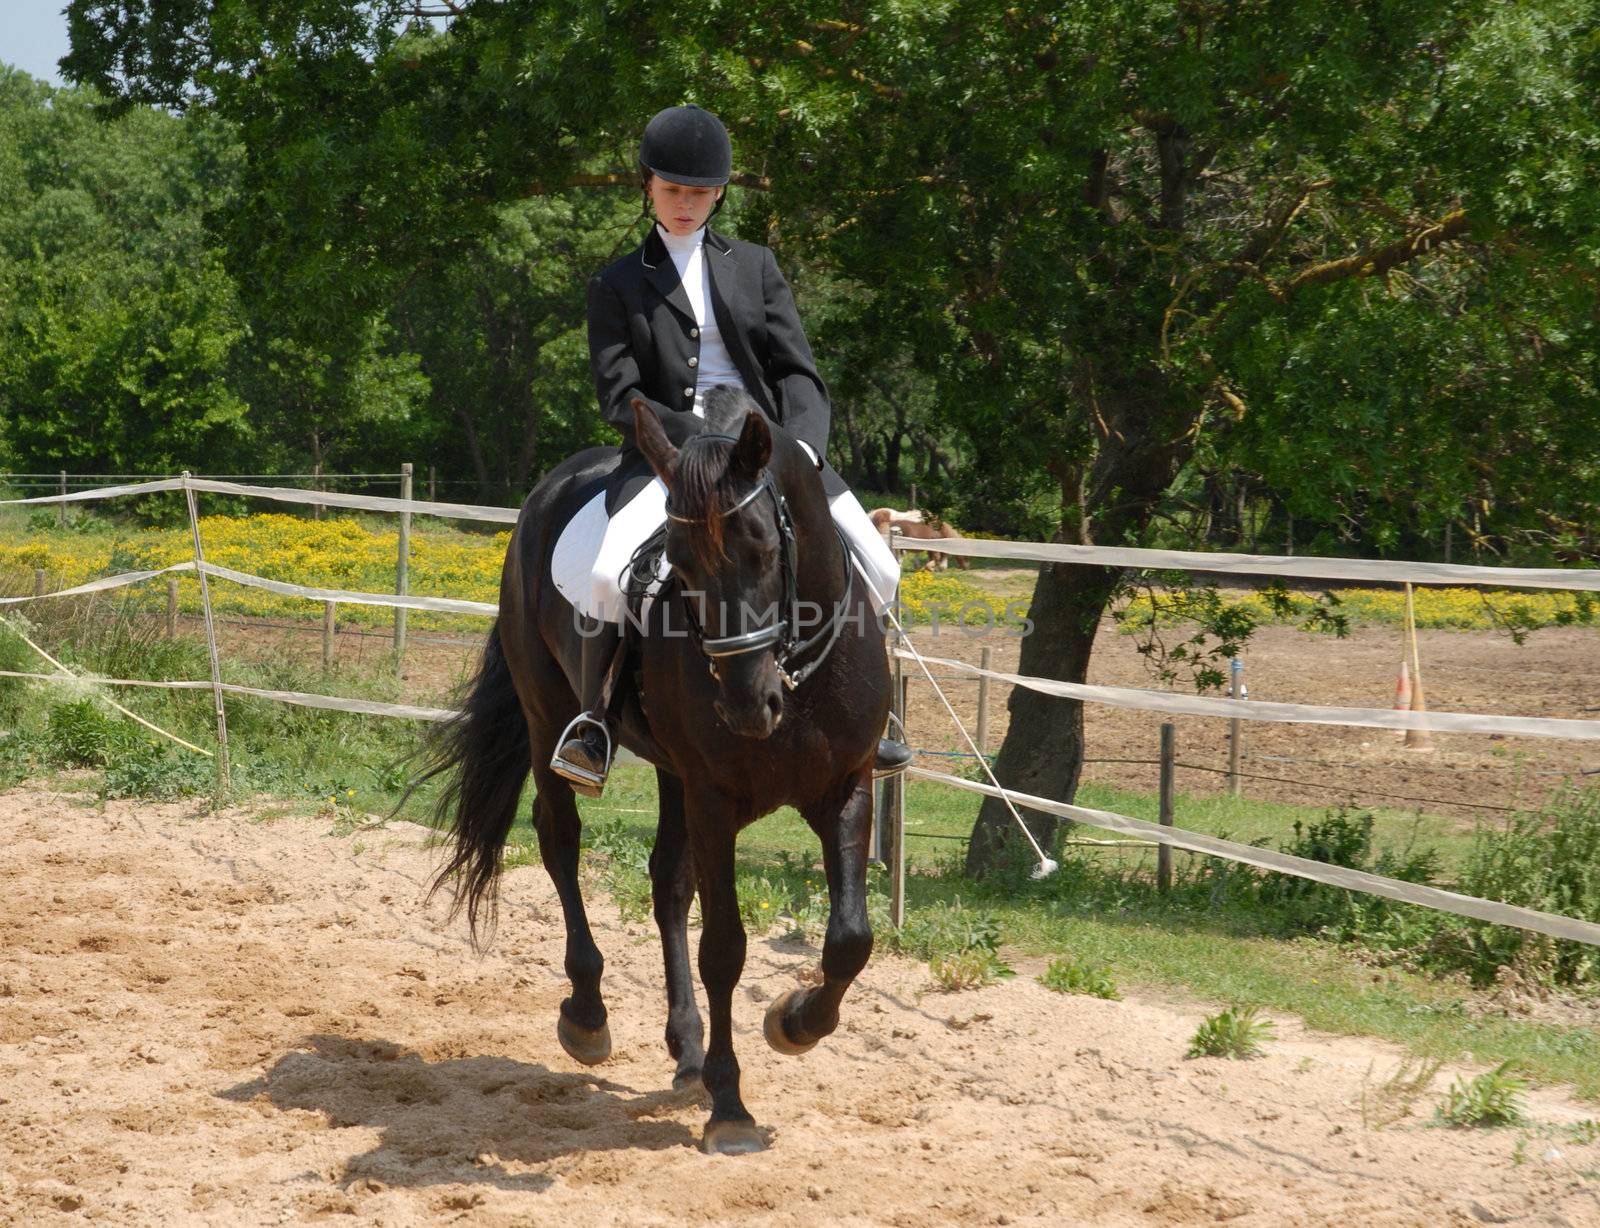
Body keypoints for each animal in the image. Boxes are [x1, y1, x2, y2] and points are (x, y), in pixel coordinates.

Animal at [419, 388, 896, 1157]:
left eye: (765, 548)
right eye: (680, 564)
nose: (746, 705)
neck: (794, 677)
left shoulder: (846, 787)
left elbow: (850, 938)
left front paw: (793, 1023)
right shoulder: (715, 798)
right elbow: (725, 948)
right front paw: (731, 1107)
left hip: (675, 772)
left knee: (668, 882)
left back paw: (688, 1050)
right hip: (550, 717)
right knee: (560, 840)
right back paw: (588, 1015)